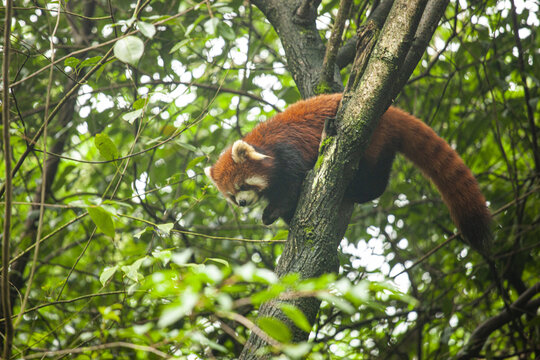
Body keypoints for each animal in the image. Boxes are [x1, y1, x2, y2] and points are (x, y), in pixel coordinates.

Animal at [205, 93, 492, 250]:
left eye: (243, 186)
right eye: (232, 196)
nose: (242, 203)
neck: (266, 146)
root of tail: (390, 111)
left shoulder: (289, 155)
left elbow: (292, 187)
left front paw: (272, 212)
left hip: (372, 139)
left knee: (375, 178)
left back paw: (357, 189)